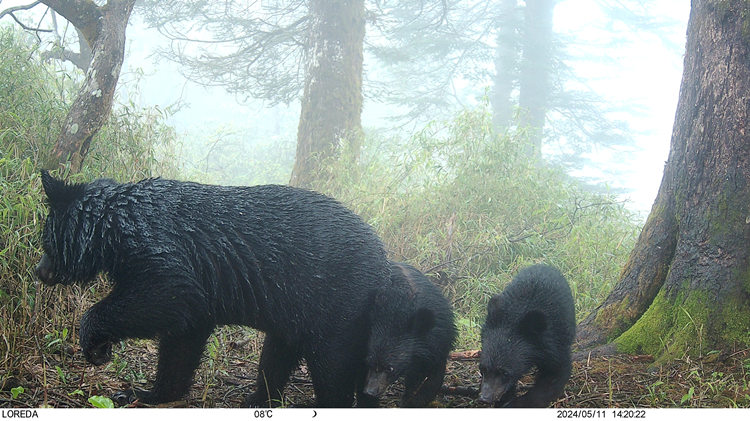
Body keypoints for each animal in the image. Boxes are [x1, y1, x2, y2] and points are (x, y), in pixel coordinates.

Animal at [35, 170, 391, 407]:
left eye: (44, 239)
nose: (40, 271)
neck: (114, 224)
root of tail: (384, 260)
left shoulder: (160, 246)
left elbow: (165, 294)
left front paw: (95, 344)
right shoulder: (199, 289)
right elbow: (184, 336)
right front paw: (145, 392)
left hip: (338, 297)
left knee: (331, 362)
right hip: (297, 309)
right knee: (278, 354)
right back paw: (257, 398)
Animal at [362, 261, 457, 407]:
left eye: (390, 368)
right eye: (369, 362)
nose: (370, 391)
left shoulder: (440, 340)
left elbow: (434, 374)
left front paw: (414, 401)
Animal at [478, 264, 575, 408]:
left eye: (504, 373)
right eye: (483, 369)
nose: (485, 398)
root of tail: (544, 265)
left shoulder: (554, 341)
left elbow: (556, 372)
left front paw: (517, 403)